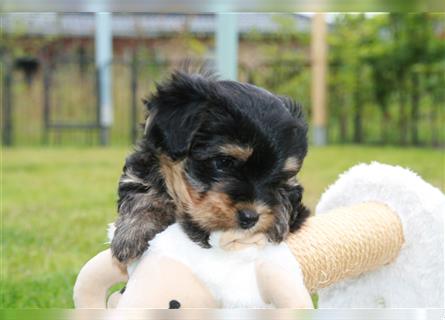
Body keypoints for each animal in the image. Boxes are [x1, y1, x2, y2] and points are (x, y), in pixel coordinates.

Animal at [111, 71, 308, 264]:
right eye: (223, 162)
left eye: (278, 180)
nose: (251, 217)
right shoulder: (141, 169)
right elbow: (143, 192)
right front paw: (133, 233)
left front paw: (278, 223)